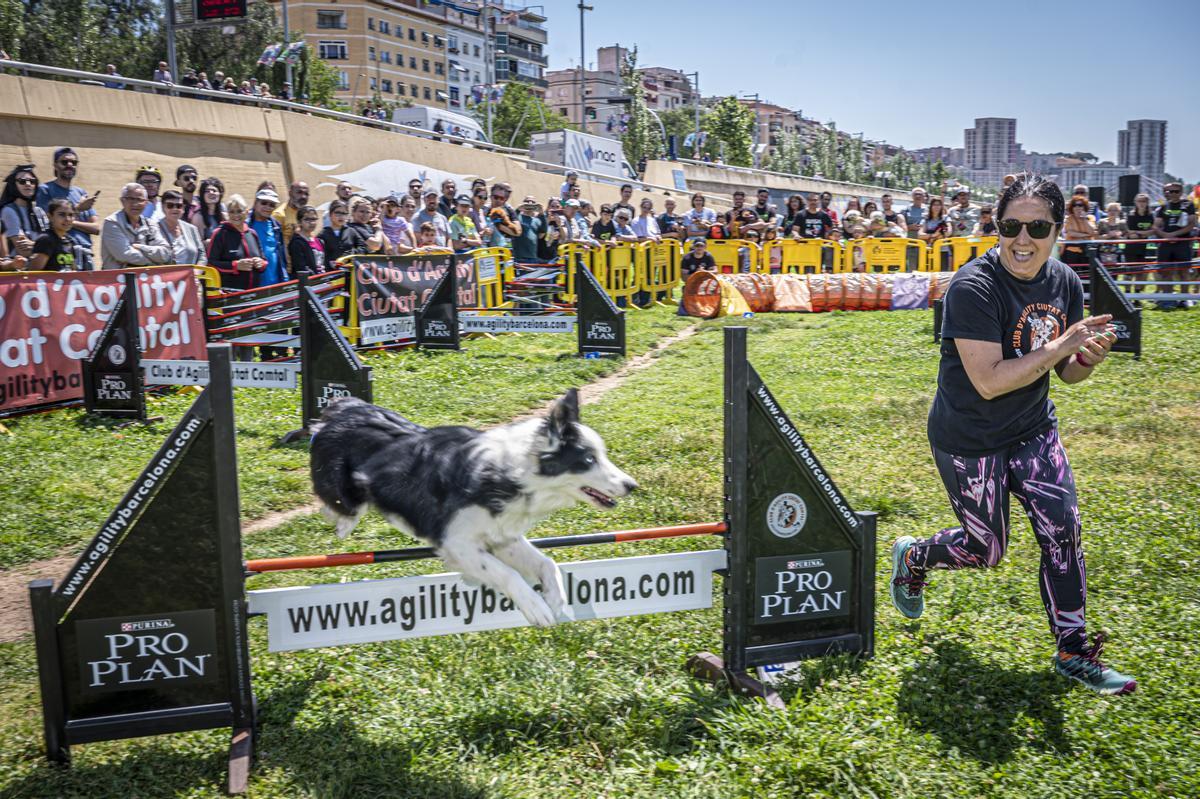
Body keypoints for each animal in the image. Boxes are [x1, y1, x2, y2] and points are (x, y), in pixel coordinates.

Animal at [309, 391, 638, 628]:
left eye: (601, 455)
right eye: (588, 460)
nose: (631, 485)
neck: (511, 474)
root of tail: (343, 406)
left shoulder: (502, 536)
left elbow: (547, 563)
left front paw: (555, 598)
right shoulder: (457, 542)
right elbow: (507, 574)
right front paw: (536, 607)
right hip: (343, 485)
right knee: (342, 504)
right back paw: (343, 522)